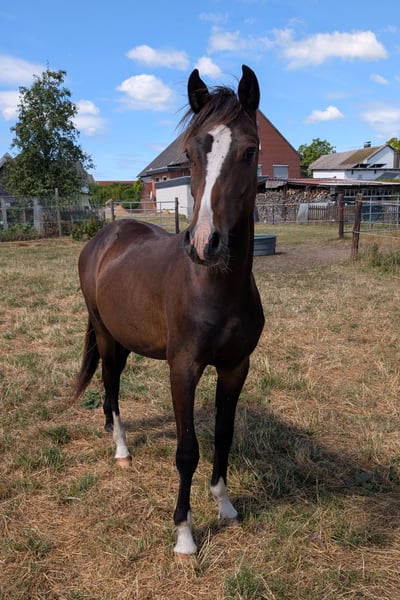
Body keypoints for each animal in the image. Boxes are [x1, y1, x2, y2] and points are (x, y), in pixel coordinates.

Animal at [74, 65, 265, 556]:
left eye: (250, 150)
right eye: (190, 152)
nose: (204, 244)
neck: (215, 288)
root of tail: (104, 237)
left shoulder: (236, 366)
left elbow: (223, 435)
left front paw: (226, 505)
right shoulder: (184, 368)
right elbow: (187, 450)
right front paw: (184, 535)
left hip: (125, 338)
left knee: (110, 389)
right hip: (106, 336)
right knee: (111, 386)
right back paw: (121, 450)